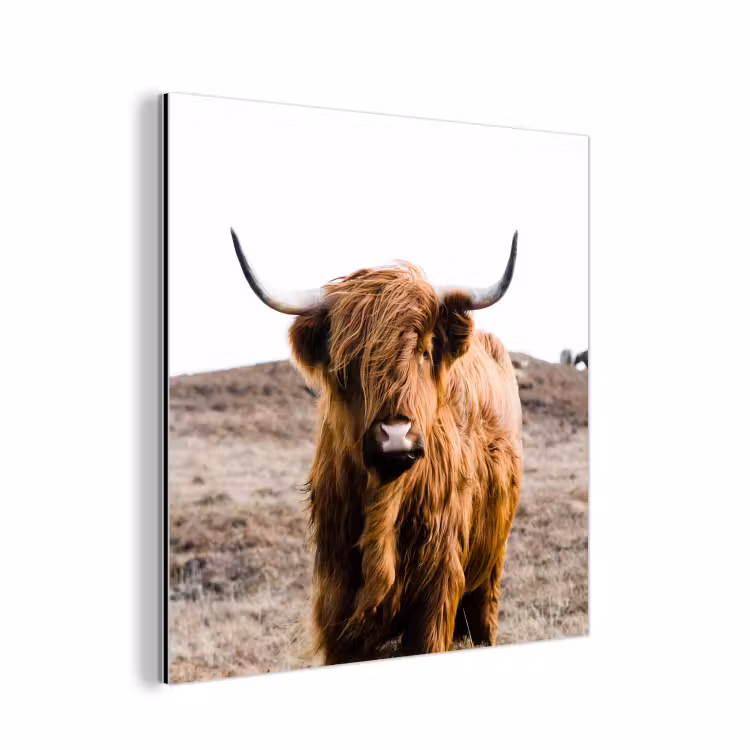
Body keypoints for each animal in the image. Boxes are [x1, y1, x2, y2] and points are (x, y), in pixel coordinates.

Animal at [230, 228, 523, 665]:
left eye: (423, 351)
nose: (395, 435)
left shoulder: (436, 595)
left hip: (490, 569)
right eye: (346, 364)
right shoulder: (336, 599)